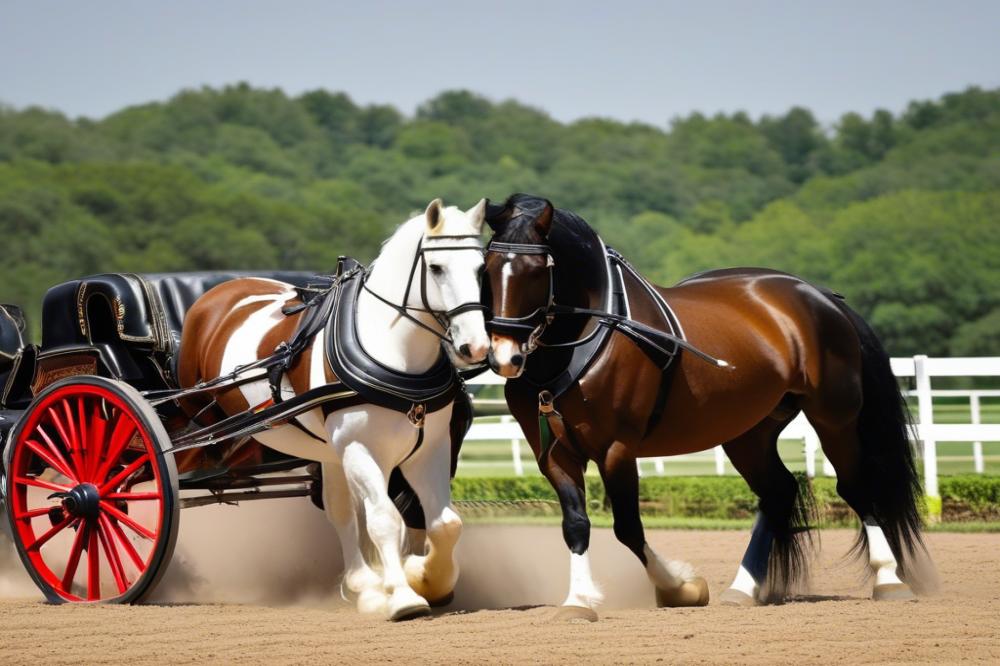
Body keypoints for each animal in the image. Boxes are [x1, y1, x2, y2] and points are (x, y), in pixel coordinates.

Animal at [180, 197, 492, 616]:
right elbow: (384, 519)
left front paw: (427, 578)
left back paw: (366, 586)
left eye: (480, 268)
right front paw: (404, 595)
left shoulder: (428, 449)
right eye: (437, 267)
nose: (475, 347)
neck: (393, 351)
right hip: (196, 418)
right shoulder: (360, 448)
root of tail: (223, 290)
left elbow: (445, 523)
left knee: (340, 511)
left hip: (329, 451)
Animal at [482, 192, 928, 616]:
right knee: (779, 492)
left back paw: (889, 579)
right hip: (749, 432)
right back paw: (743, 589)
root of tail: (820, 296)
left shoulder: (617, 449)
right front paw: (578, 600)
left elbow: (628, 527)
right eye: (486, 267)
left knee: (854, 487)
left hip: (833, 417)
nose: (504, 356)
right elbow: (575, 524)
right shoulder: (553, 454)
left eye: (537, 270)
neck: (583, 338)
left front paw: (680, 587)